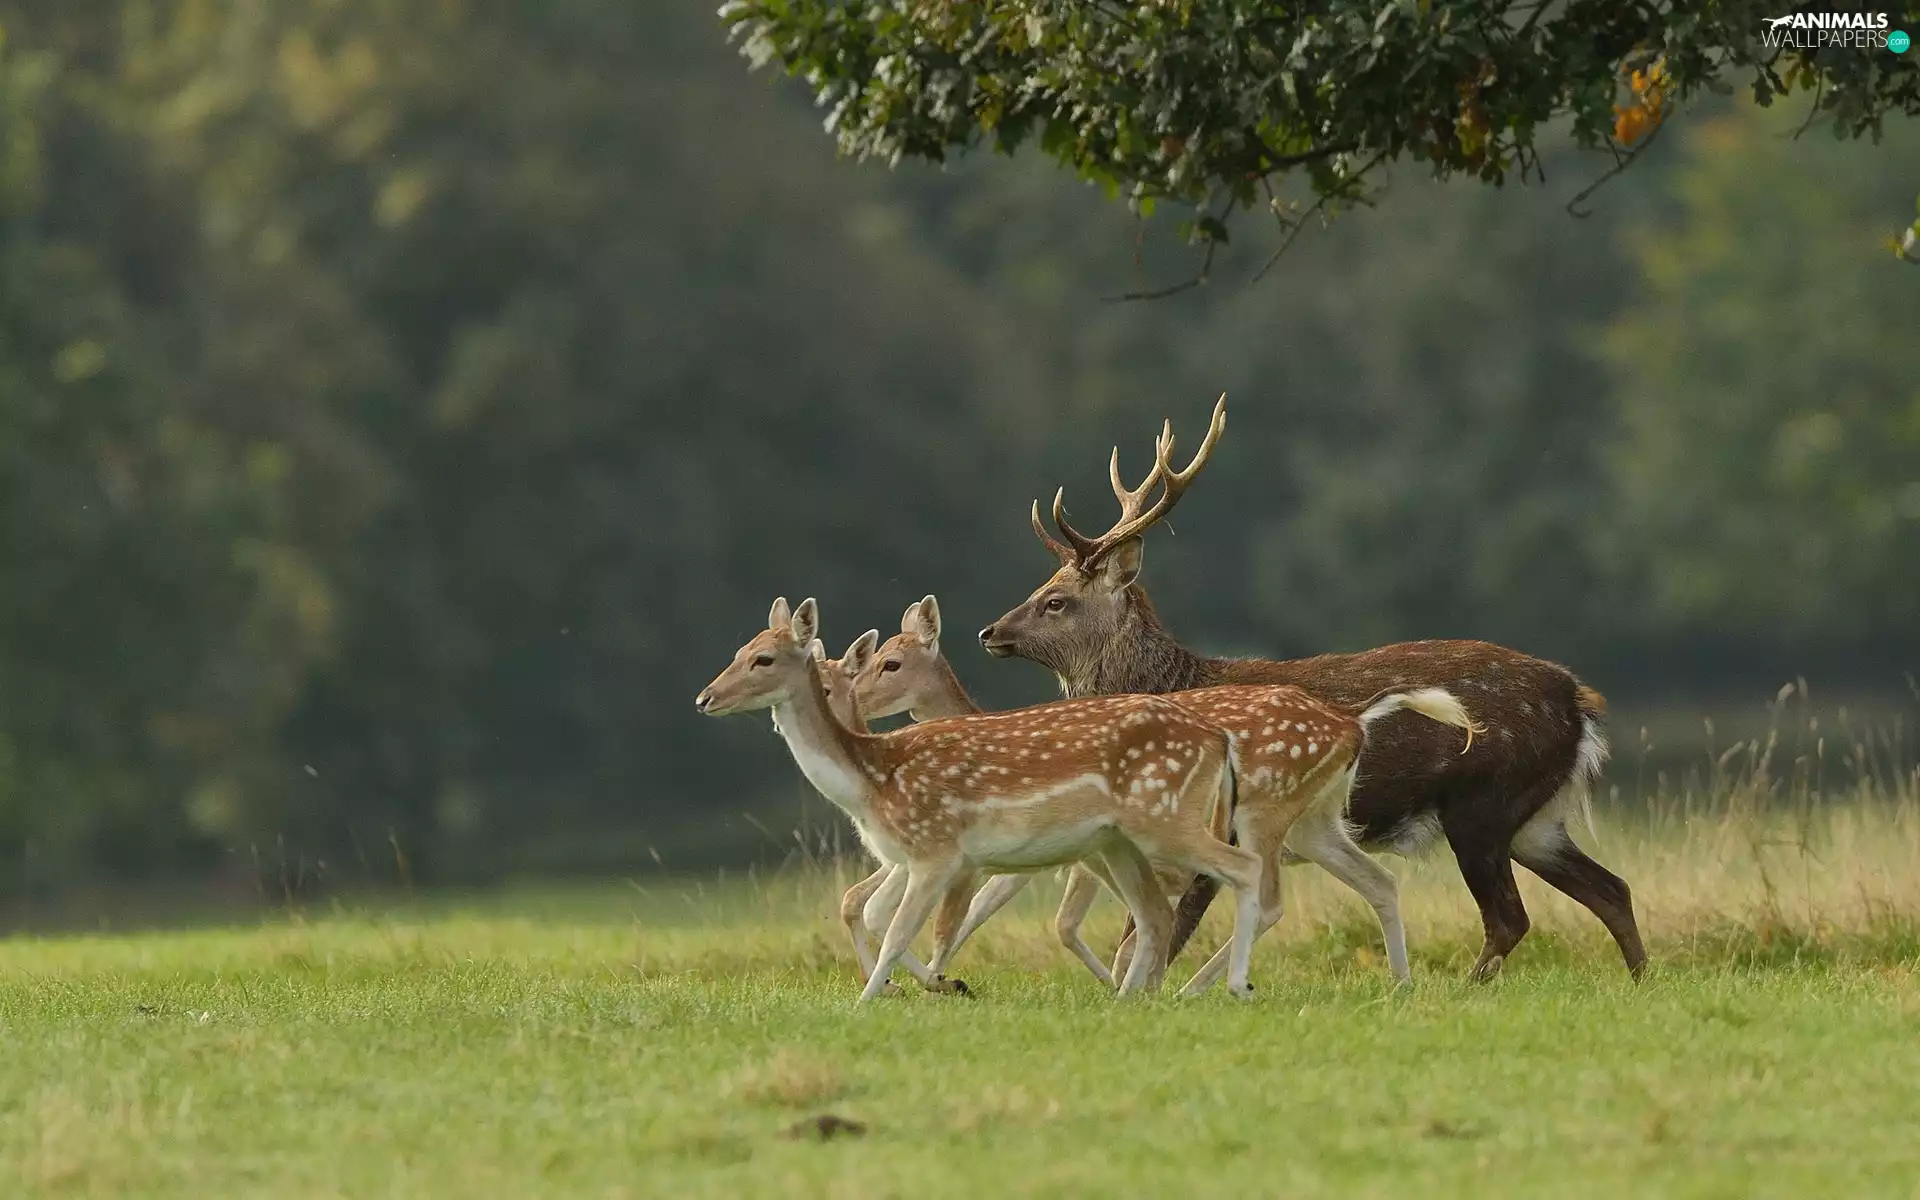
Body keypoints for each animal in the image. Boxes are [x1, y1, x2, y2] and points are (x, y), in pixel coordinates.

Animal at [695, 597, 1268, 1000]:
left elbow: (906, 929)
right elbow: (883, 915)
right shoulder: (922, 859)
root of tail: (1216, 739)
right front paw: (927, 986)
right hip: (1117, 844)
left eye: (764, 658)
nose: (704, 697)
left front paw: (888, 997)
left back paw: (1227, 985)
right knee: (1155, 912)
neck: (872, 777)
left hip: (1164, 821)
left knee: (1239, 871)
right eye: (738, 652)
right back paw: (1136, 996)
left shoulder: (941, 852)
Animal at [856, 595, 1476, 989]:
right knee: (1379, 883)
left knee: (1270, 896)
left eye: (892, 662)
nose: (850, 693)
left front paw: (938, 982)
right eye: (873, 654)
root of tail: (1353, 721)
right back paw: (1399, 984)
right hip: (1315, 823)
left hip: (1264, 815)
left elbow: (1047, 920)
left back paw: (1199, 988)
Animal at [975, 396, 1644, 982]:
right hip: (1536, 818)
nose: (989, 632)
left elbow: (1151, 940)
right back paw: (1640, 981)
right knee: (1611, 889)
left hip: (1483, 803)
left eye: (1056, 600)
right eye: (1040, 587)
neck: (1169, 681)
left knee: (1510, 917)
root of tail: (1578, 702)